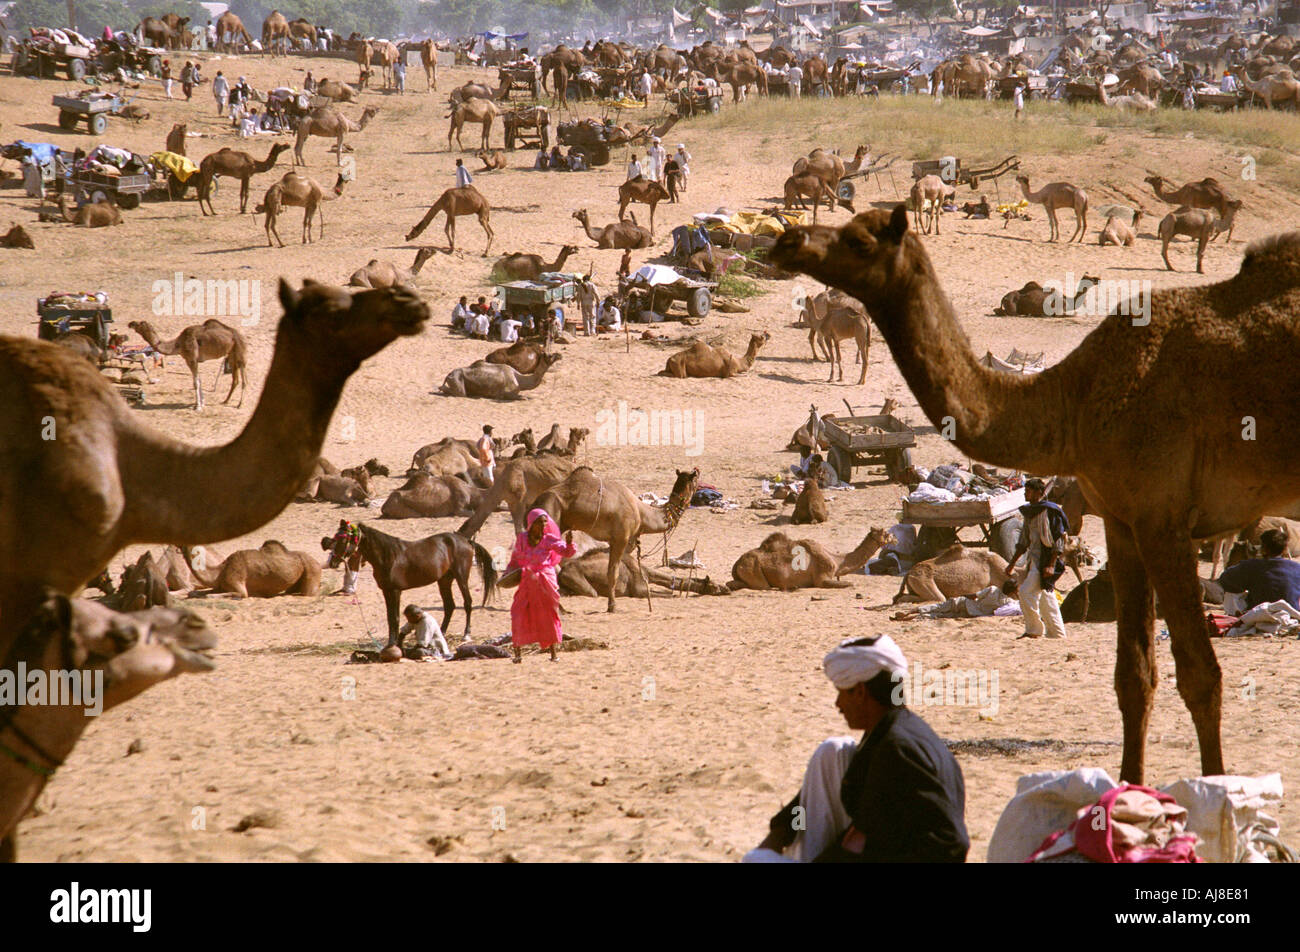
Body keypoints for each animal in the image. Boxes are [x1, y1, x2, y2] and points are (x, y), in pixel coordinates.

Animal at [183, 540, 321, 597]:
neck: (219, 572)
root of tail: (317, 561)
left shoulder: (238, 584)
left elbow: (212, 596)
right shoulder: (219, 586)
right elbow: (197, 593)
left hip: (312, 568)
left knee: (309, 592)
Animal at [533, 467, 699, 612]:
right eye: (696, 479)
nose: (698, 472)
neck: (641, 512)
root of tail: (536, 502)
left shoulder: (622, 541)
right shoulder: (621, 537)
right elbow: (613, 572)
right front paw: (612, 607)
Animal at [728, 528, 889, 591]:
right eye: (886, 533)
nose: (894, 538)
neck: (837, 561)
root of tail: (737, 563)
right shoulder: (822, 578)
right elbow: (849, 584)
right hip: (754, 570)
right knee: (763, 586)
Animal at [771, 205, 1300, 784]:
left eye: (861, 241)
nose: (788, 241)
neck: (1076, 397)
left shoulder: (1164, 517)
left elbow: (1200, 676)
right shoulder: (1125, 519)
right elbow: (1134, 676)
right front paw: (1130, 795)